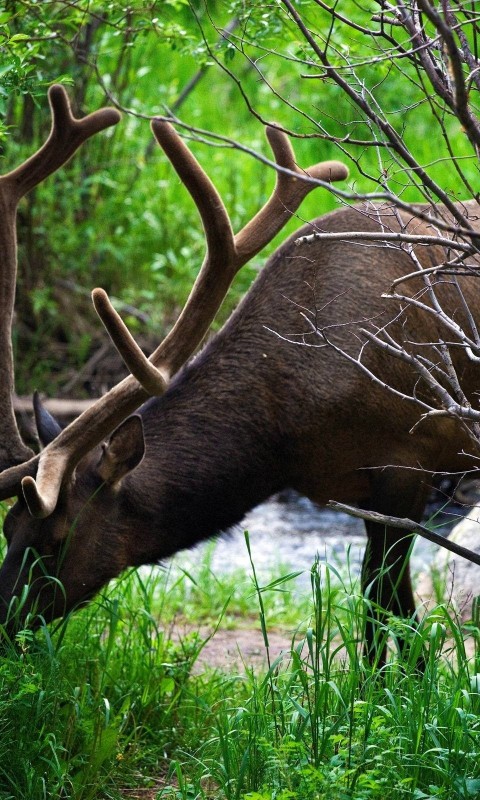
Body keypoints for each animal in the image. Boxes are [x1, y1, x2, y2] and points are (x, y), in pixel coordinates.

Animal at [0, 85, 479, 666]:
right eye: (8, 527)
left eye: (55, 540)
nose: (1, 623)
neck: (286, 434)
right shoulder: (362, 489)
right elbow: (380, 608)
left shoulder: (409, 460)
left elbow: (390, 611)